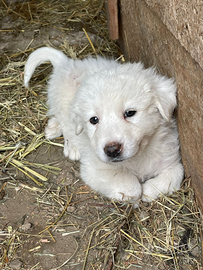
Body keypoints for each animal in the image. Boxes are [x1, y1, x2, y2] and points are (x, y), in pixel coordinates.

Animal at [24, 47, 184, 207]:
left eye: (130, 113)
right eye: (94, 120)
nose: (112, 150)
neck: (138, 156)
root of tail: (67, 63)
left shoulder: (172, 160)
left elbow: (175, 174)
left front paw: (149, 190)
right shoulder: (94, 169)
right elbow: (131, 186)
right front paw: (135, 196)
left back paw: (52, 128)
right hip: (63, 103)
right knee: (65, 124)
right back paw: (70, 145)